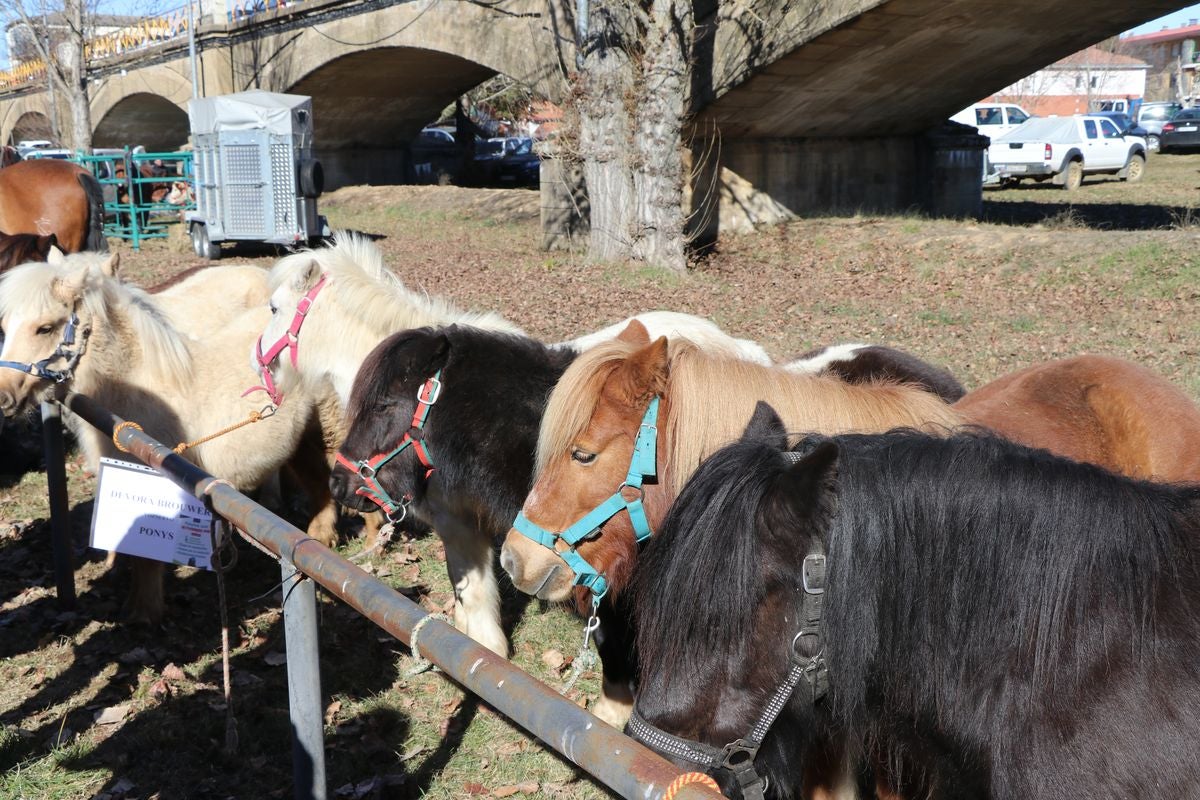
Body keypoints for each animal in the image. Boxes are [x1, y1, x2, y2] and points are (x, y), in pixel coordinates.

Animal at [0, 253, 343, 623]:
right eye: (5, 327)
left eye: (45, 327)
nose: (3, 396)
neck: (137, 386)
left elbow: (146, 554)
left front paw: (143, 611)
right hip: (300, 441)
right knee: (319, 486)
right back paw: (319, 538)